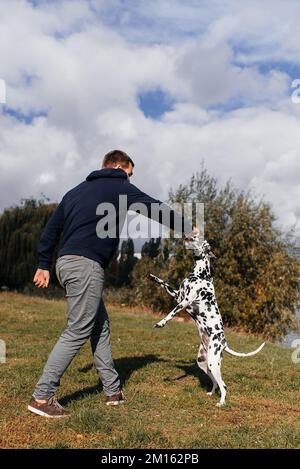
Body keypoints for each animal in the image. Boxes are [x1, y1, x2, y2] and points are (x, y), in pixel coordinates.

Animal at [150, 234, 264, 406]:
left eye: (201, 241)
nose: (187, 236)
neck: (200, 274)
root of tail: (224, 343)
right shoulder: (178, 295)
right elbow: (164, 283)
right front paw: (153, 277)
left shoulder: (184, 301)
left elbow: (171, 313)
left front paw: (161, 322)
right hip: (204, 363)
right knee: (216, 382)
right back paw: (211, 393)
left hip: (212, 362)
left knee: (224, 385)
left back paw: (221, 403)